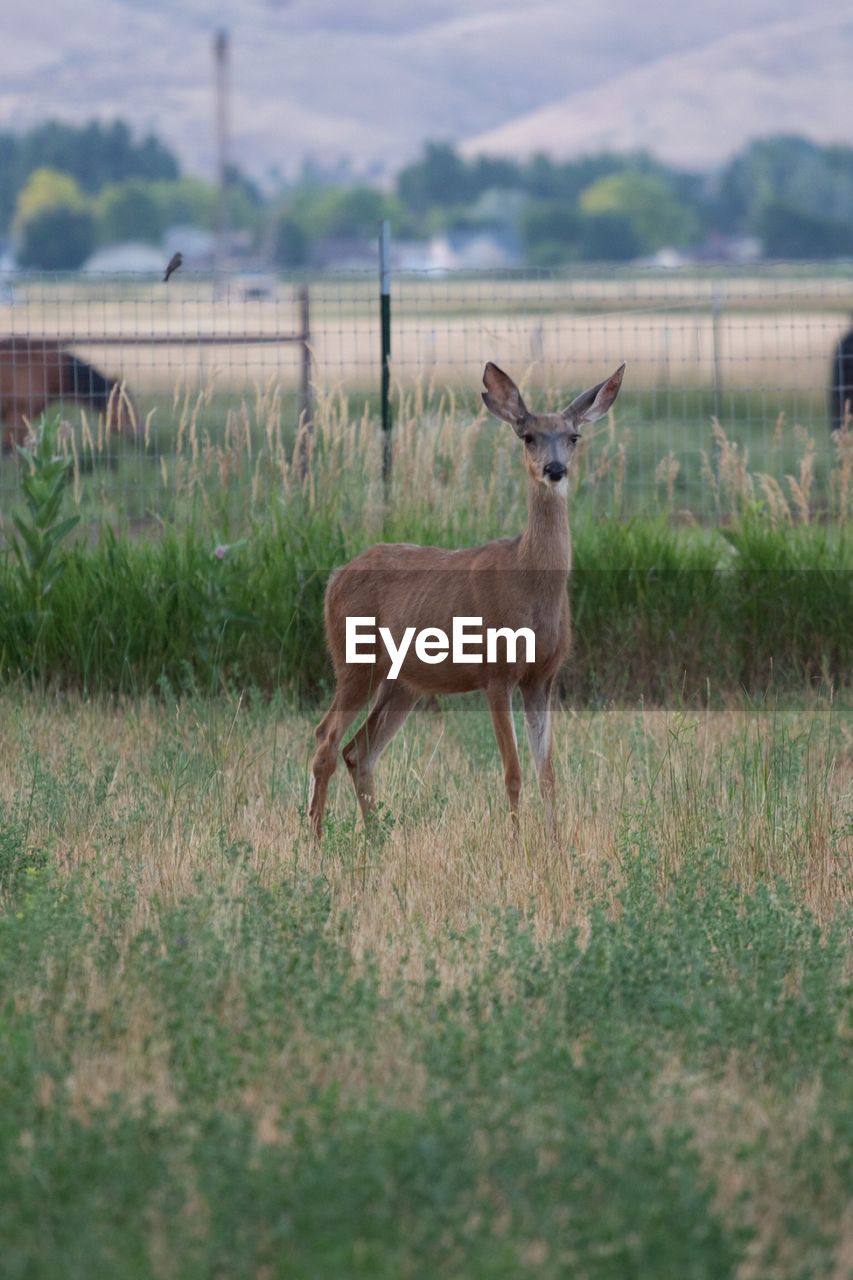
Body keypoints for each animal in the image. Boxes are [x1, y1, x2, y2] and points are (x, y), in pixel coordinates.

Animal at [307, 360, 625, 839]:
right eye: (528, 436)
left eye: (573, 437)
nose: (554, 469)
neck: (529, 581)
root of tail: (333, 580)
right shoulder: (495, 670)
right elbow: (513, 772)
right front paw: (516, 843)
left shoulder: (542, 677)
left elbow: (548, 774)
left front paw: (555, 843)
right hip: (354, 660)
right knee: (325, 740)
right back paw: (314, 839)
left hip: (403, 682)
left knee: (357, 750)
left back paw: (375, 839)